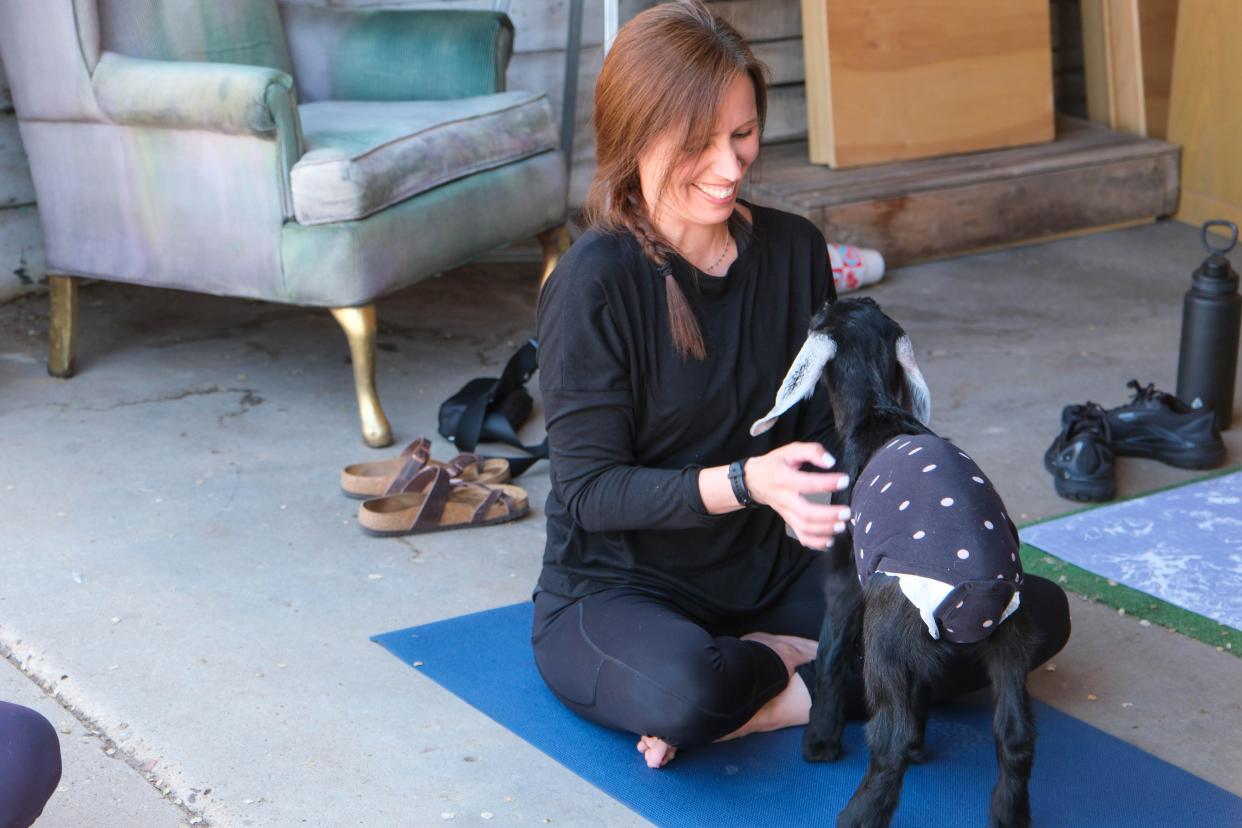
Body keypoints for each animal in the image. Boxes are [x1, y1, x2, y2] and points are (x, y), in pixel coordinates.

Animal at [750, 297, 1043, 828]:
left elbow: (830, 651)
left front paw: (819, 744)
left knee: (889, 741)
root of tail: (978, 595)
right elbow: (922, 684)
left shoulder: (848, 573)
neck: (876, 410)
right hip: (1013, 638)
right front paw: (923, 748)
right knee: (1014, 735)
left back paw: (855, 815)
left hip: (884, 633)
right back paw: (1008, 815)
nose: (820, 302)